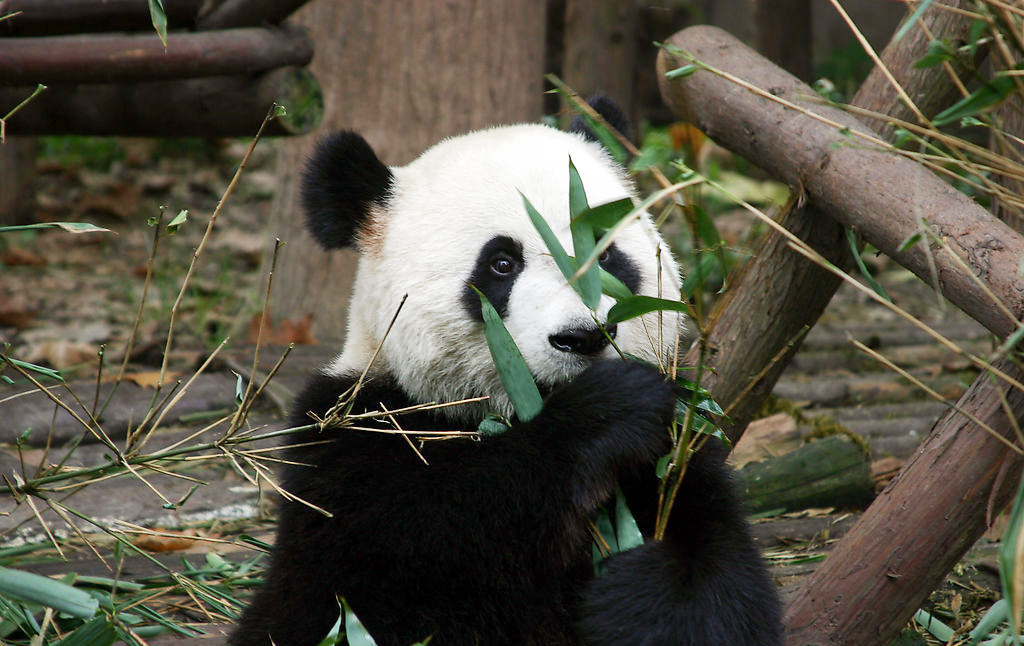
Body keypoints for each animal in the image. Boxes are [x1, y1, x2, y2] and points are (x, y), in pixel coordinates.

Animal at [228, 105, 778, 646]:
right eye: (501, 264)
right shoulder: (353, 440)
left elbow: (718, 569)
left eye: (606, 252)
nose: (583, 337)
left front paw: (641, 595)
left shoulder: (676, 449)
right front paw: (607, 412)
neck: (514, 409)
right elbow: (429, 538)